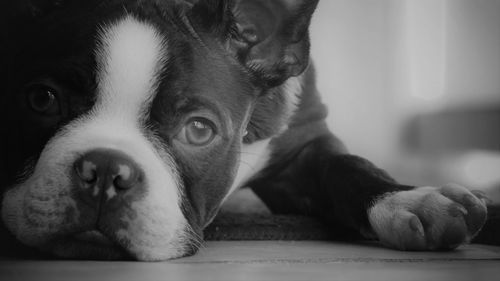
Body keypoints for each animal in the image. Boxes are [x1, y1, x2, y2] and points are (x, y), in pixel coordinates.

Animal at [0, 0, 488, 260]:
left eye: (198, 130)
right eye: (42, 100)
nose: (105, 170)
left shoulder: (304, 144)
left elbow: (350, 167)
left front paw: (412, 199)